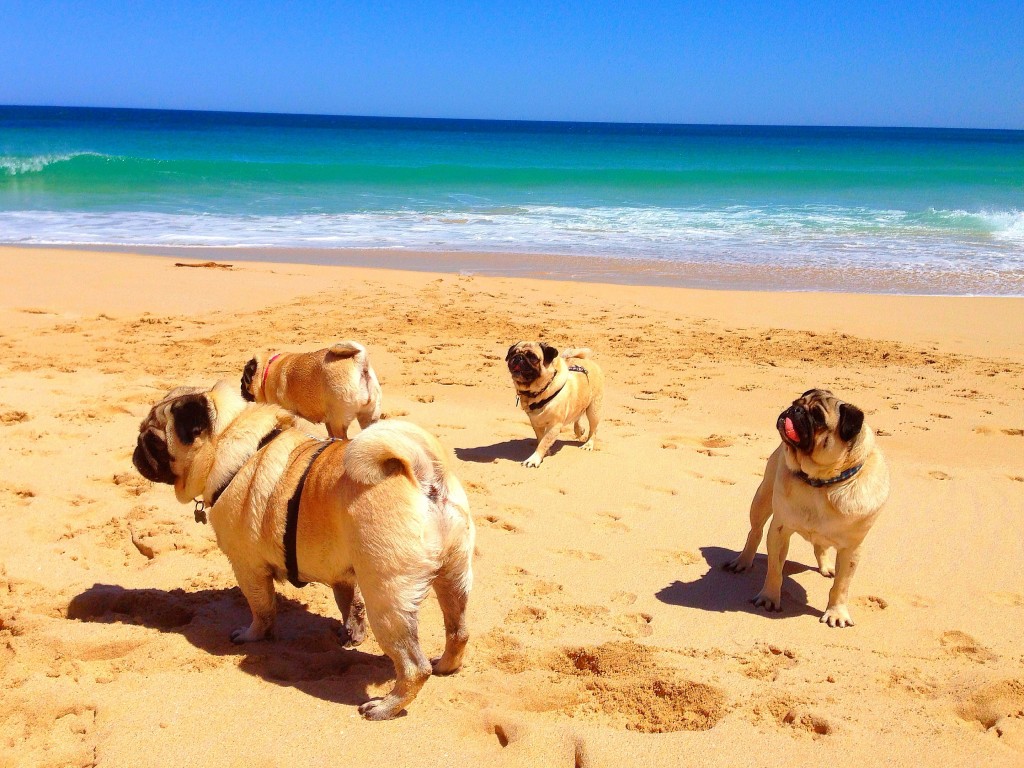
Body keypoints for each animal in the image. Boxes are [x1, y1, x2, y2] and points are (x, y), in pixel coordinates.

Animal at [131, 382, 475, 720]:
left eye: (154, 441)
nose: (137, 450)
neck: (229, 440)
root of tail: (423, 477)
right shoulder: (341, 571)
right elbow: (349, 604)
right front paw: (352, 634)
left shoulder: (247, 567)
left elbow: (262, 610)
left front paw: (252, 635)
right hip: (453, 578)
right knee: (458, 631)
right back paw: (445, 666)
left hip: (387, 597)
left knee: (413, 667)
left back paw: (386, 707)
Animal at [241, 342, 382, 438]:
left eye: (243, 381)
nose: (241, 388)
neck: (267, 368)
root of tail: (359, 361)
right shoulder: (327, 420)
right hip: (369, 417)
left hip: (338, 421)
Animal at [729, 387, 888, 626]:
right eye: (796, 402)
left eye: (818, 417)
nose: (795, 410)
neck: (821, 483)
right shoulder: (779, 531)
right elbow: (775, 570)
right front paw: (769, 598)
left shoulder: (852, 549)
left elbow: (841, 586)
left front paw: (836, 613)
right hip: (761, 499)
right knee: (755, 532)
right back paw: (743, 561)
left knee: (820, 546)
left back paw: (826, 567)